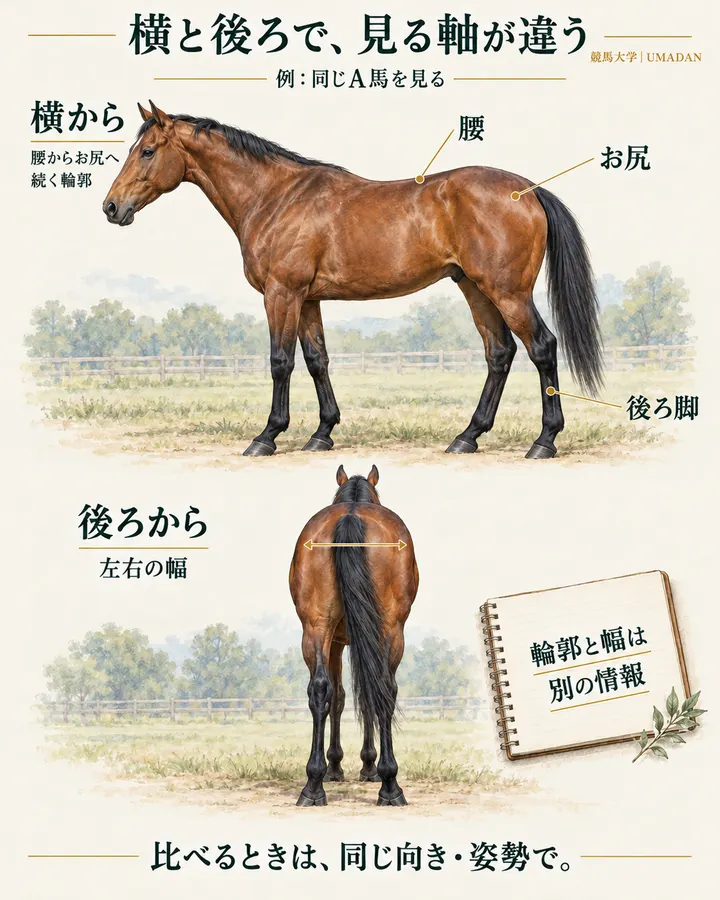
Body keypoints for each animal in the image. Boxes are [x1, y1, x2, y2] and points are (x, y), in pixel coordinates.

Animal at [103, 101, 603, 460]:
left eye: (147, 151)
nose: (111, 207)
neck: (276, 197)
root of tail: (528, 190)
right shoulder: (307, 299)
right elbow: (316, 361)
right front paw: (322, 433)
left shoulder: (282, 294)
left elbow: (280, 361)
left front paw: (267, 436)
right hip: (474, 289)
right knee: (499, 354)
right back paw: (467, 437)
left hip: (508, 292)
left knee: (542, 348)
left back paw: (544, 442)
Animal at [289, 465, 418, 807]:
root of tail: (351, 515)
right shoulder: (346, 641)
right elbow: (357, 695)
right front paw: (366, 766)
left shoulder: (334, 639)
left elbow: (336, 695)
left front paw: (335, 768)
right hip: (391, 628)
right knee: (383, 688)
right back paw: (390, 785)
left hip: (316, 627)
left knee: (320, 689)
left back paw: (312, 786)